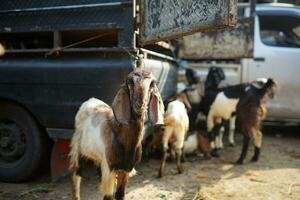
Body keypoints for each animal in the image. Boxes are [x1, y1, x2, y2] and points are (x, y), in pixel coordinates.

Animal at [68, 69, 164, 200]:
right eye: (130, 83)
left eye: (152, 84)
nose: (140, 104)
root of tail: (90, 100)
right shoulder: (109, 169)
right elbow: (108, 196)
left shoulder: (125, 169)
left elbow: (120, 195)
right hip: (78, 148)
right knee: (76, 174)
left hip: (99, 158)